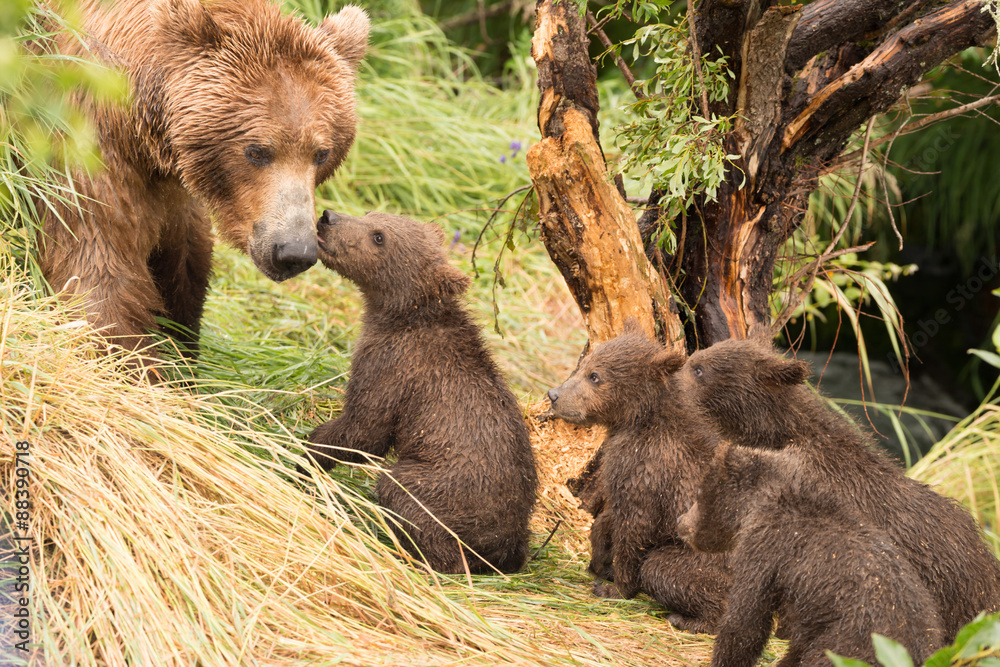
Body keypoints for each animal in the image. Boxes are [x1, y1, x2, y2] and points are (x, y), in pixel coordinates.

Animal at [40, 0, 370, 356]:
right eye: (256, 151)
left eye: (321, 153)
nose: (294, 251)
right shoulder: (89, 154)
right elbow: (99, 271)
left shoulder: (176, 199)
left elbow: (186, 266)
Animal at [302, 210, 538, 575]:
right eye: (372, 214)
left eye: (379, 236)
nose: (328, 217)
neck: (401, 316)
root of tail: (508, 545)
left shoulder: (392, 369)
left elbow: (364, 431)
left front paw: (304, 455)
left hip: (448, 489)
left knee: (401, 493)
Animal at [546, 324, 730, 634]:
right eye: (585, 365)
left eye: (595, 376)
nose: (554, 394)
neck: (635, 422)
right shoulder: (621, 472)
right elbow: (608, 518)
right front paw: (599, 562)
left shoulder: (649, 473)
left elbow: (634, 532)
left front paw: (614, 587)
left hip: (704, 561)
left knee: (661, 569)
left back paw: (688, 619)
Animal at [677, 442, 945, 667]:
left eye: (699, 492)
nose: (681, 521)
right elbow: (795, 643)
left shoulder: (764, 551)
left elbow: (745, 622)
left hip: (851, 645)